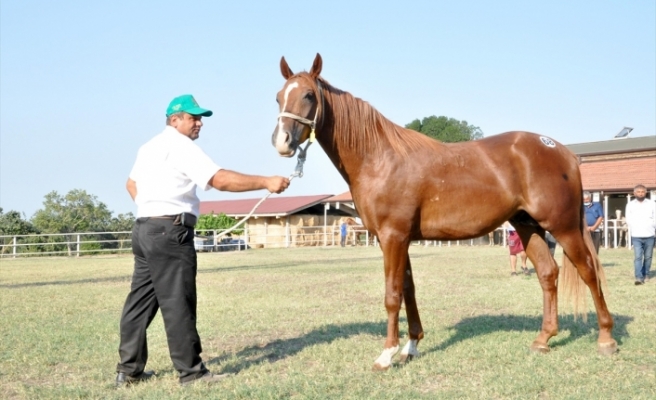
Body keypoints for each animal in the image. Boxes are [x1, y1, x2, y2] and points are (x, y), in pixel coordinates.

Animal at [270, 54, 616, 372]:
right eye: (278, 96)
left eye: (308, 95)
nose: (282, 142)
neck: (379, 158)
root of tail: (564, 152)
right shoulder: (397, 239)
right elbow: (408, 289)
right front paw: (411, 346)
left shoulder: (393, 237)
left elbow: (392, 294)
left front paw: (386, 354)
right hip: (528, 226)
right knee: (547, 273)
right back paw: (543, 339)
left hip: (563, 227)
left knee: (588, 271)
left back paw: (606, 338)